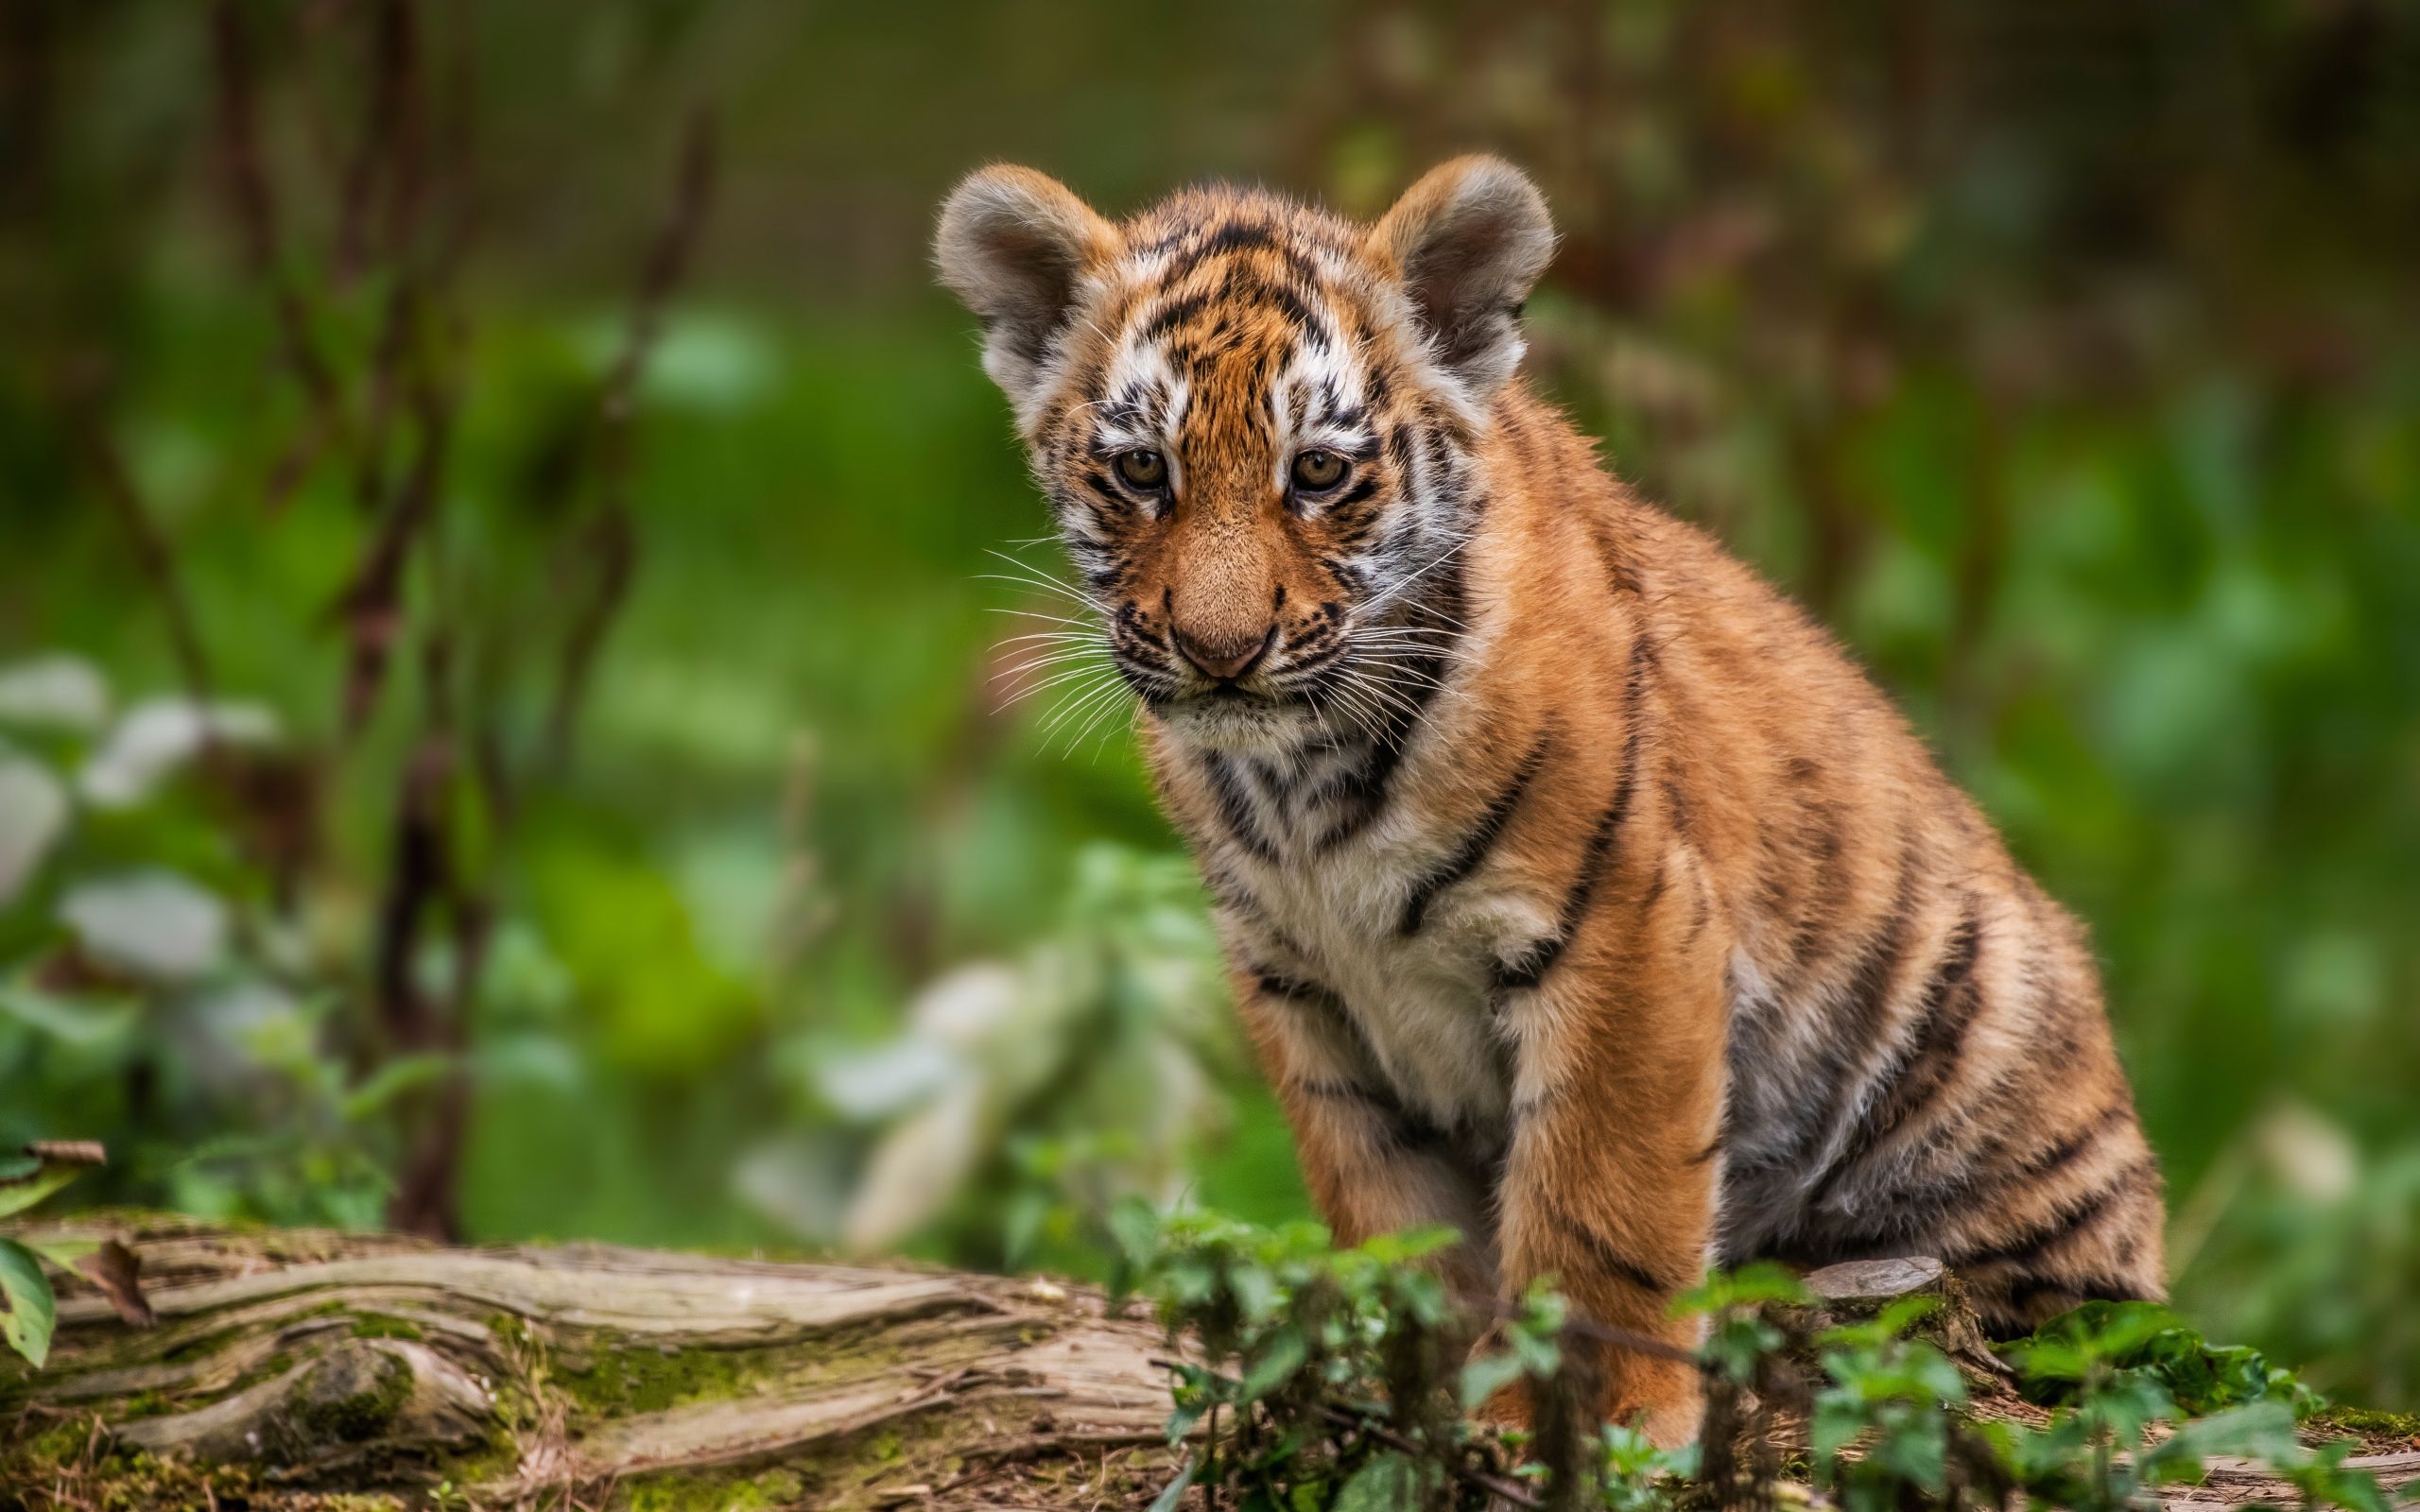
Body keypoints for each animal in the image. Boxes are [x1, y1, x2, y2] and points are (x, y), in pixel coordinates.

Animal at [934, 157, 2165, 1445]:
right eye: (1141, 471)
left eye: (1317, 472)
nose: (1220, 653)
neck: (1304, 780)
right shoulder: (1297, 982)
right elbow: (1389, 1211)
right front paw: (1421, 1388)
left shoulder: (1626, 930)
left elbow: (1599, 1200)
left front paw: (1595, 1414)